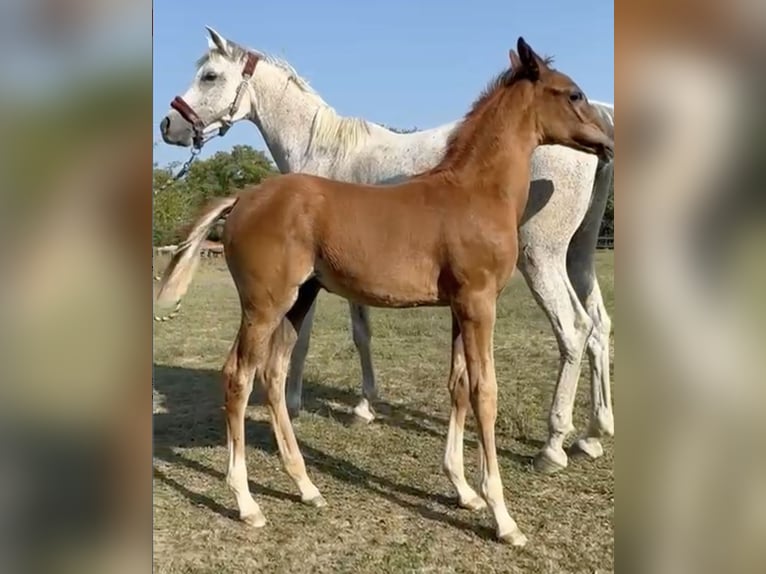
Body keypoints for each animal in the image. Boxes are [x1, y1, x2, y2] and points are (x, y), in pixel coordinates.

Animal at [156, 38, 612, 548]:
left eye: (210, 76)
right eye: (572, 94)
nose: (607, 143)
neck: (474, 191)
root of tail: (245, 198)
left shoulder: (460, 307)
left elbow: (458, 386)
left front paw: (463, 491)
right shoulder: (479, 304)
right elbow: (484, 393)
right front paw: (503, 516)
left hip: (298, 300)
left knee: (271, 374)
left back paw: (307, 487)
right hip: (265, 304)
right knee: (238, 376)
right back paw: (247, 503)